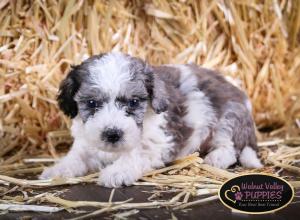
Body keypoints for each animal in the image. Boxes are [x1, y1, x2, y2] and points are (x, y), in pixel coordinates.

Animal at [39, 52, 262, 187]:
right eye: (92, 103)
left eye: (134, 102)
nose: (112, 134)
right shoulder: (85, 143)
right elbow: (76, 157)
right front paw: (56, 170)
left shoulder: (158, 143)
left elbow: (136, 155)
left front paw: (117, 172)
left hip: (228, 118)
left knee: (230, 147)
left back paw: (217, 157)